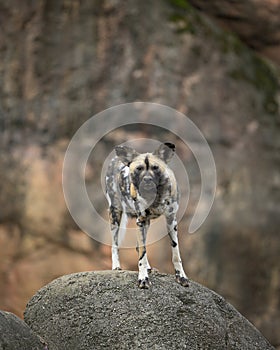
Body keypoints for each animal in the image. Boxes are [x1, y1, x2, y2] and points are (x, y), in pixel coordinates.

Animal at [104, 141, 188, 288]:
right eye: (139, 169)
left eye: (155, 168)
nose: (147, 180)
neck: (155, 196)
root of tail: (115, 159)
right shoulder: (141, 221)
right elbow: (142, 256)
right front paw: (143, 278)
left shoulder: (171, 220)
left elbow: (176, 253)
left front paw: (181, 276)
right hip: (116, 215)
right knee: (115, 245)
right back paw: (116, 266)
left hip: (145, 223)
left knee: (139, 247)